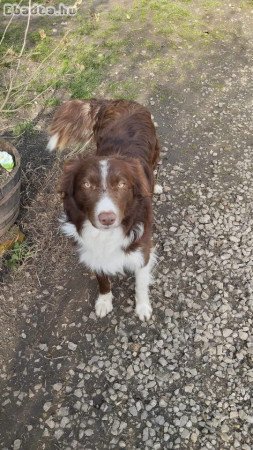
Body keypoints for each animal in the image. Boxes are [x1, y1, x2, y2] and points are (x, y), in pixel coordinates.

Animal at [48, 100, 160, 322]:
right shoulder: (93, 249)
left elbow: (140, 283)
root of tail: (117, 100)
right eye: (86, 185)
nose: (107, 219)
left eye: (122, 185)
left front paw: (143, 307)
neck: (106, 235)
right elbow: (102, 279)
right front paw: (104, 301)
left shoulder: (143, 249)